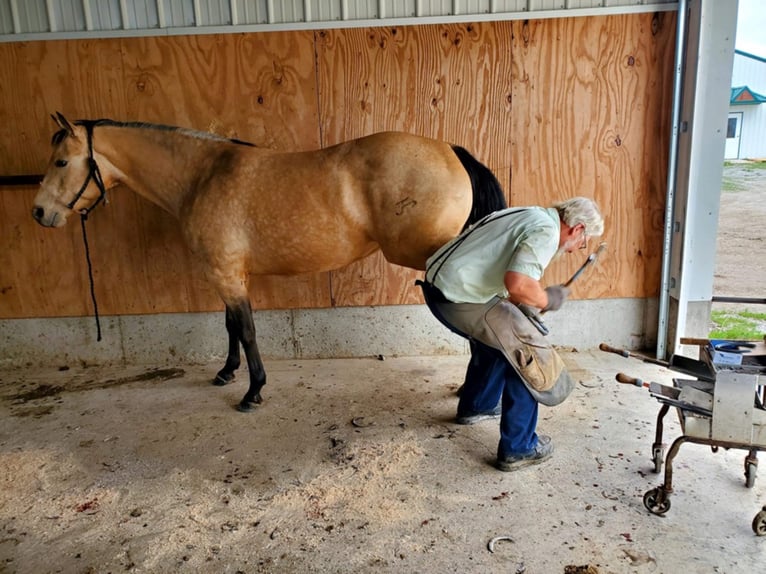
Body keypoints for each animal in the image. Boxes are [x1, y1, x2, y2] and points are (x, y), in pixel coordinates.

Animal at [31, 112, 510, 412]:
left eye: (61, 161)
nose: (39, 213)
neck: (202, 176)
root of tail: (450, 150)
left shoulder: (226, 274)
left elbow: (245, 329)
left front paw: (253, 391)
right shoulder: (229, 273)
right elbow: (230, 326)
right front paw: (227, 373)